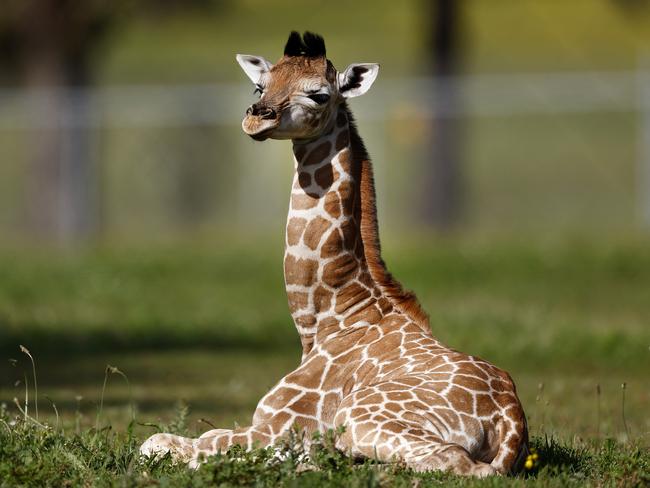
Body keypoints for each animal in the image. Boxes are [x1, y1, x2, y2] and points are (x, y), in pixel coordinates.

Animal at [140, 31, 528, 476]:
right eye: (260, 86)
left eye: (319, 95)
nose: (257, 118)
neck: (327, 318)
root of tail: (511, 421)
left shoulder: (276, 427)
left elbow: (159, 443)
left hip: (361, 418)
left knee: (455, 463)